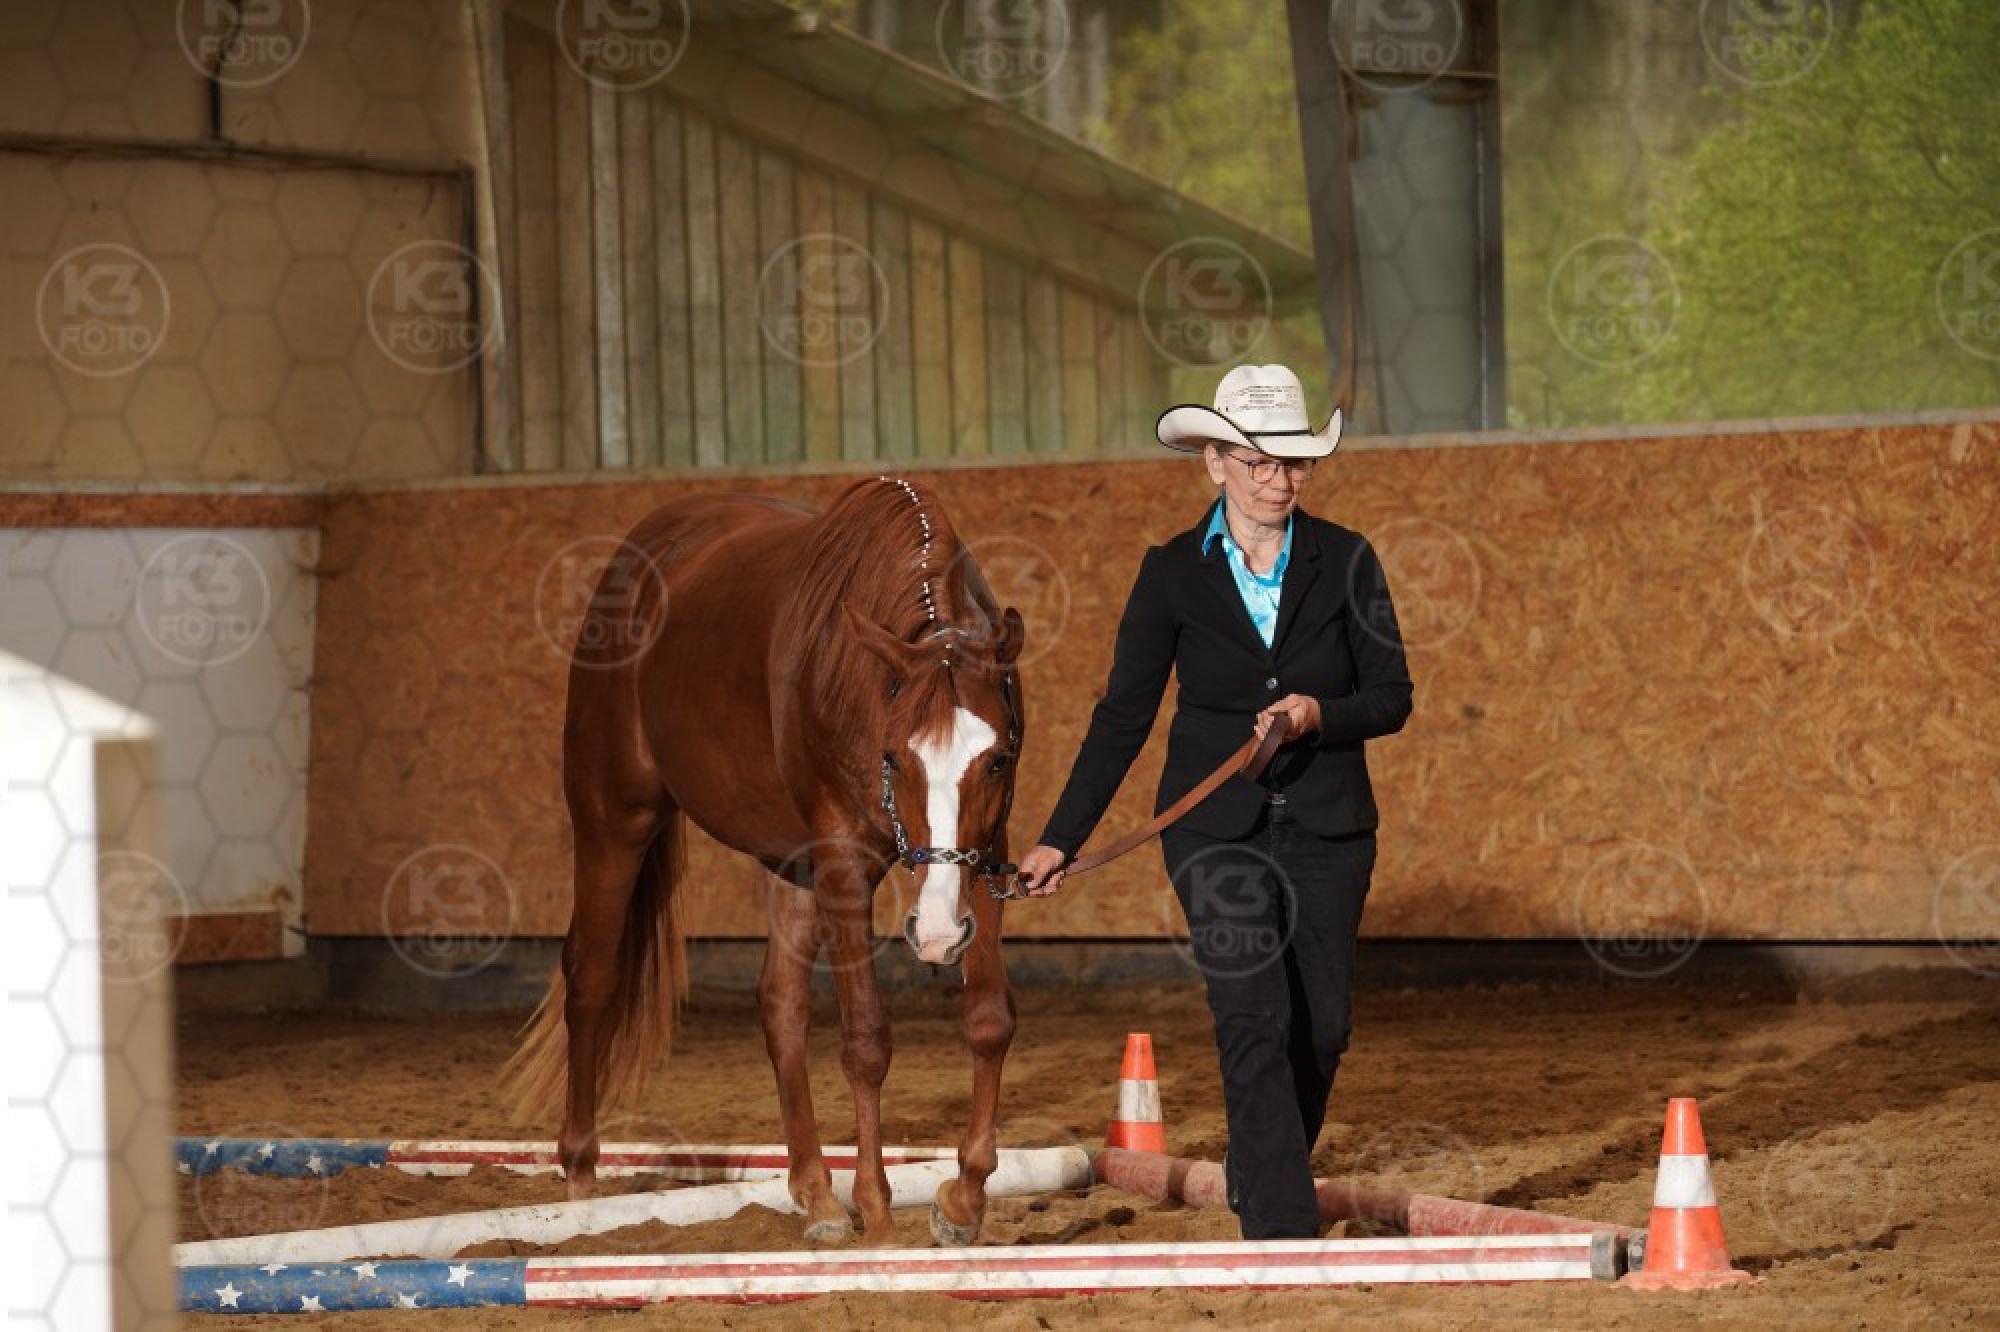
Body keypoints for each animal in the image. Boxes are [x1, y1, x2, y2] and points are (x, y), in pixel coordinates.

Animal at [508, 475, 1027, 1248]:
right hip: (614, 822)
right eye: (894, 757)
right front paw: (878, 1211)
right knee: (591, 977)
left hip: (792, 867)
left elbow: (990, 1019)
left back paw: (815, 1192)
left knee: (779, 1007)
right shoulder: (842, 863)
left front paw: (962, 1199)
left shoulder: (984, 857)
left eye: (995, 761)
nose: (935, 935)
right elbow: (866, 1040)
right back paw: (579, 1174)